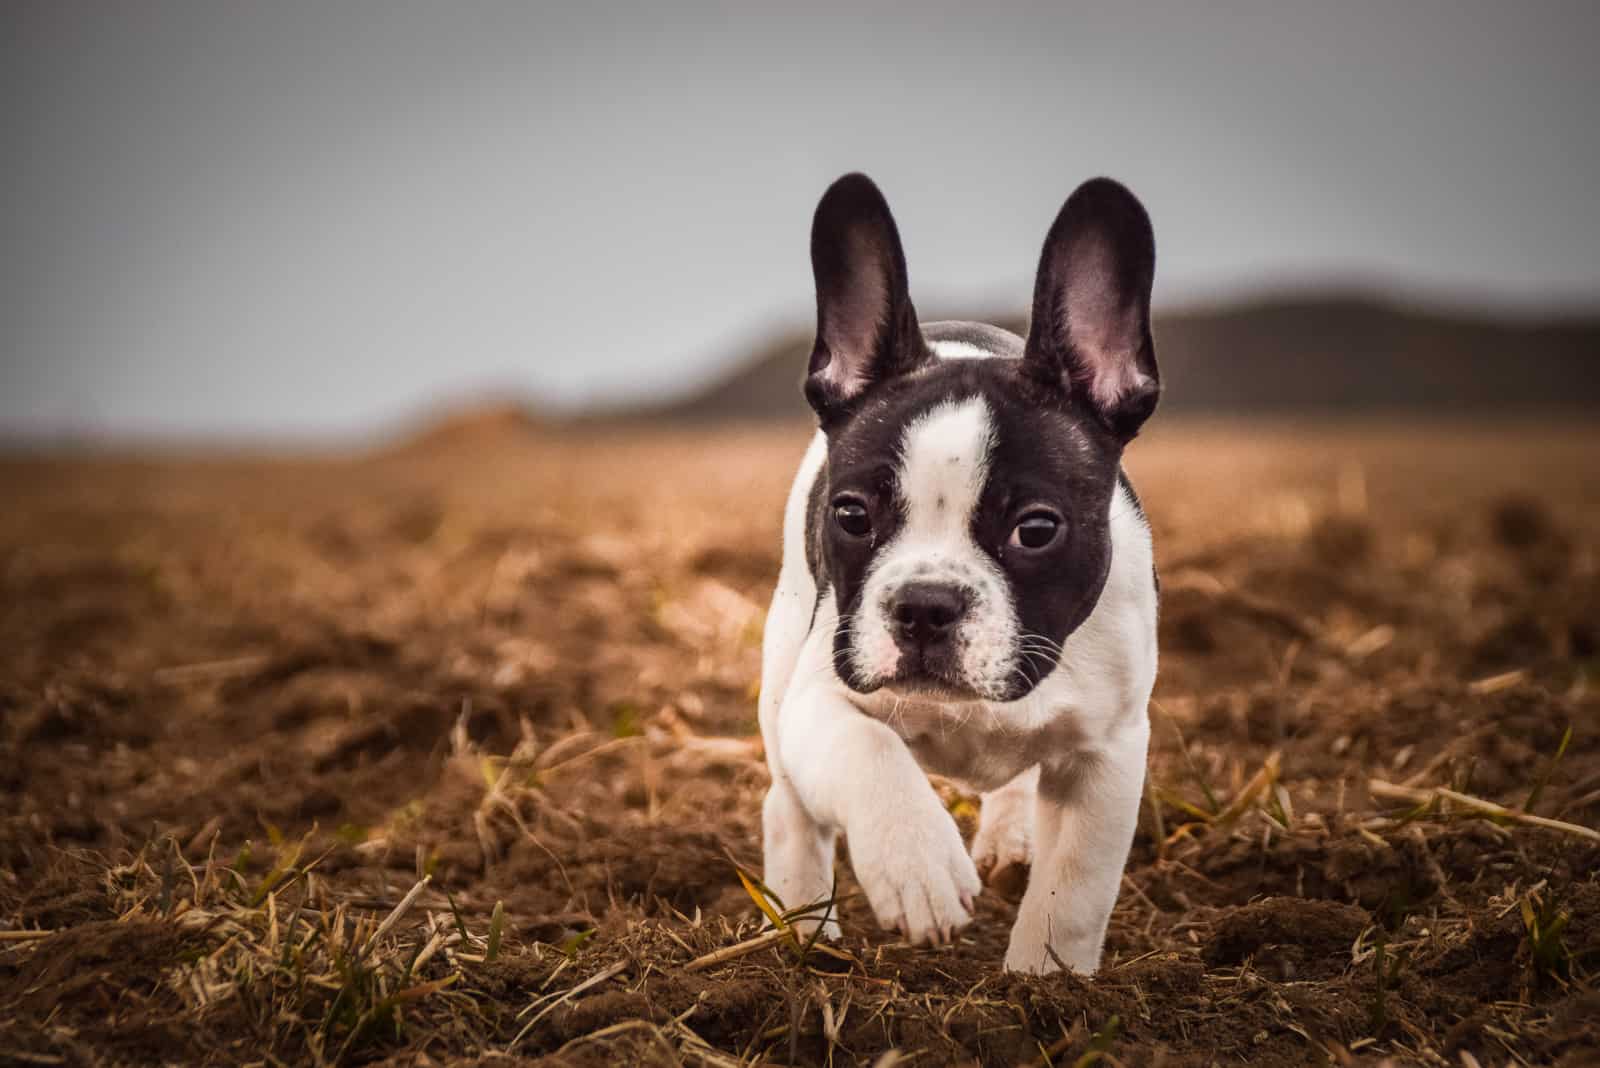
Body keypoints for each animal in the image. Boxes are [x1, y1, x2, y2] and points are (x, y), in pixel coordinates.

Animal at [755, 175, 1158, 978]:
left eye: (1036, 529)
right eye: (851, 515)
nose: (925, 605)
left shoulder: (1108, 751)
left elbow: (1075, 891)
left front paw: (1044, 983)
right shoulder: (823, 695)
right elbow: (868, 751)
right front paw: (918, 863)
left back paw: (1010, 837)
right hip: (784, 657)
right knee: (790, 803)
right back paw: (802, 928)